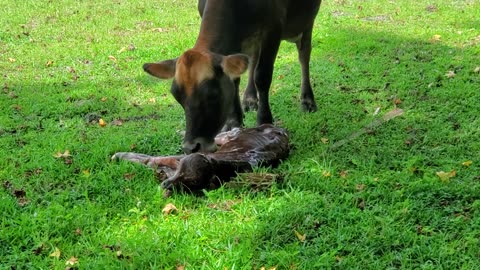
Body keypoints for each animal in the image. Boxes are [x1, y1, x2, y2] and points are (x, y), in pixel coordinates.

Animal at [142, 0, 322, 153]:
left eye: (213, 95)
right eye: (176, 95)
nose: (192, 147)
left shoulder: (273, 29)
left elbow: (262, 76)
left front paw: (264, 120)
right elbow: (235, 79)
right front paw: (234, 122)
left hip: (306, 22)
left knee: (304, 54)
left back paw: (307, 101)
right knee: (252, 58)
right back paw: (249, 99)